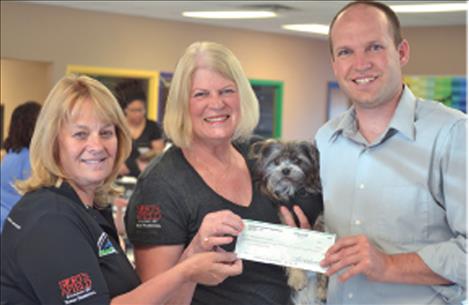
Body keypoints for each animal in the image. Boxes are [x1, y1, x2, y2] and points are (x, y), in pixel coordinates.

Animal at [250, 140, 328, 304]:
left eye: (297, 160)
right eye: (276, 161)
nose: (285, 170)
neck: (292, 190)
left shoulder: (320, 222)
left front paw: (323, 289)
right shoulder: (285, 222)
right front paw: (297, 277)